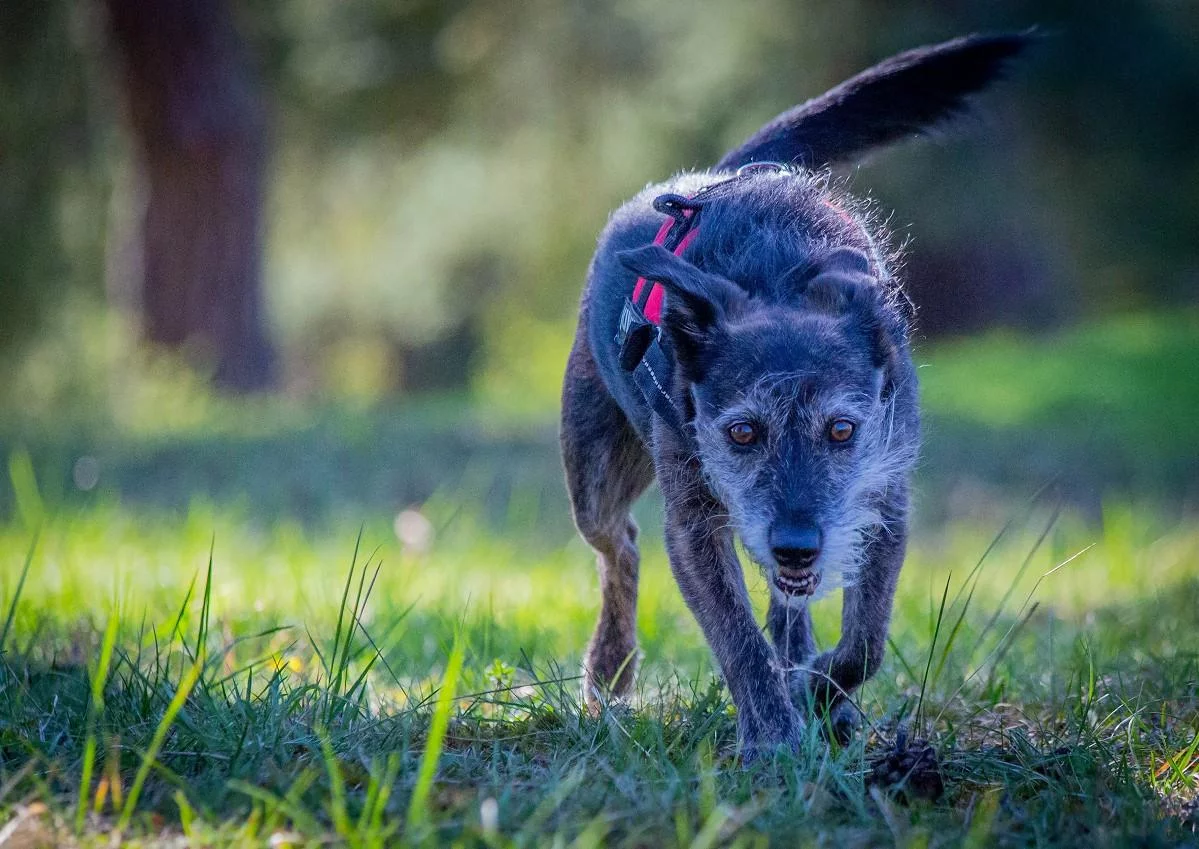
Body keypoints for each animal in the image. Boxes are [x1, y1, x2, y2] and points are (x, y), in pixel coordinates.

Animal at [561, 33, 1031, 757]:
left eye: (842, 430)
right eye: (740, 432)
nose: (796, 544)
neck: (779, 277)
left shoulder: (881, 499)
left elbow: (864, 641)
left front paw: (819, 692)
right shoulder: (694, 524)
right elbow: (737, 641)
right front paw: (773, 738)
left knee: (783, 606)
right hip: (596, 472)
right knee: (620, 545)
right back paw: (611, 666)